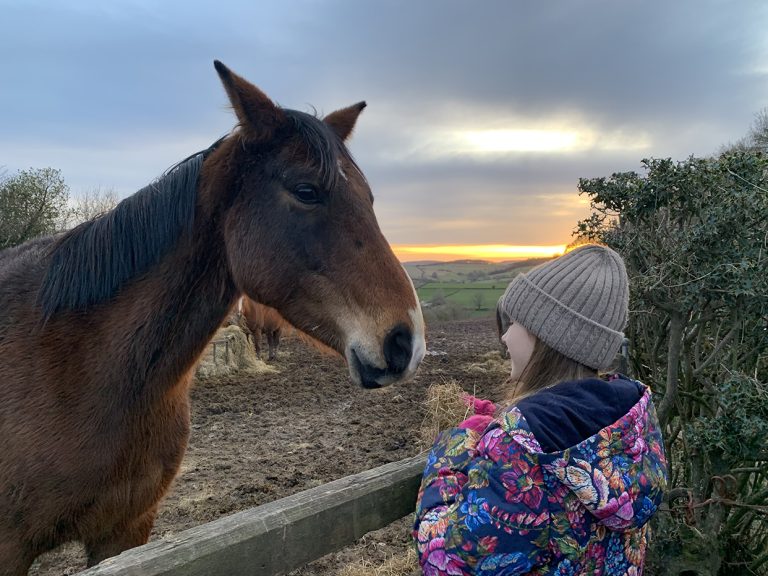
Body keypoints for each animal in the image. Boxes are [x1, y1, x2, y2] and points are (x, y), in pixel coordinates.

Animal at [0, 61, 425, 575]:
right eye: (306, 190)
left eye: (369, 197)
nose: (406, 341)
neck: (78, 369)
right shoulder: (10, 546)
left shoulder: (126, 531)